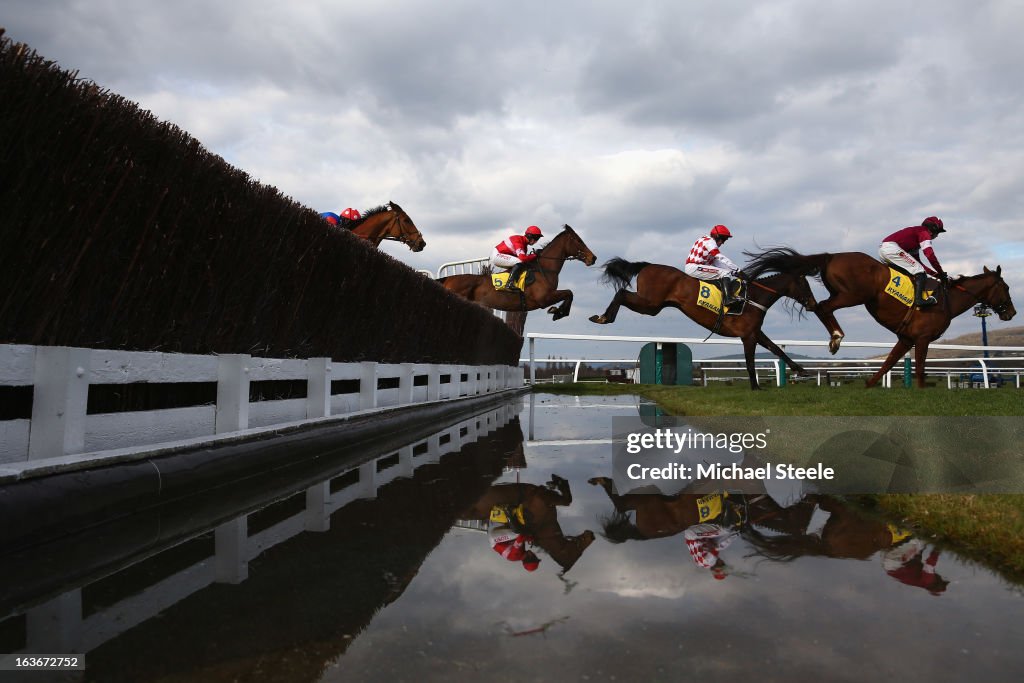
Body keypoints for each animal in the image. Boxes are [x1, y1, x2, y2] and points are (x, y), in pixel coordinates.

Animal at [436, 224, 598, 321]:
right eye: (579, 240)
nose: (593, 258)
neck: (545, 269)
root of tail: (448, 279)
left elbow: (570, 293)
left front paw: (557, 311)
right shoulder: (544, 298)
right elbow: (569, 292)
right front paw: (558, 312)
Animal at [460, 475, 598, 577]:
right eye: (578, 553)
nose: (592, 535)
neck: (544, 525)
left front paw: (556, 480)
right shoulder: (545, 498)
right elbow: (568, 500)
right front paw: (559, 481)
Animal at [589, 258, 819, 389]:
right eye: (805, 285)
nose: (813, 304)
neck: (754, 297)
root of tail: (648, 266)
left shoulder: (756, 333)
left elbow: (776, 349)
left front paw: (801, 370)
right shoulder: (748, 336)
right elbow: (750, 362)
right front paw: (755, 387)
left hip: (653, 305)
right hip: (650, 304)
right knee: (621, 293)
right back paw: (603, 317)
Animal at [737, 249, 1015, 389]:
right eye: (1007, 287)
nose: (1011, 312)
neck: (947, 300)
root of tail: (830, 255)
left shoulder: (906, 338)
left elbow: (889, 362)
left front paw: (871, 383)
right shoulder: (923, 337)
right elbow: (921, 365)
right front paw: (922, 387)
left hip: (845, 293)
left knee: (821, 307)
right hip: (854, 294)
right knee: (822, 307)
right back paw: (836, 337)